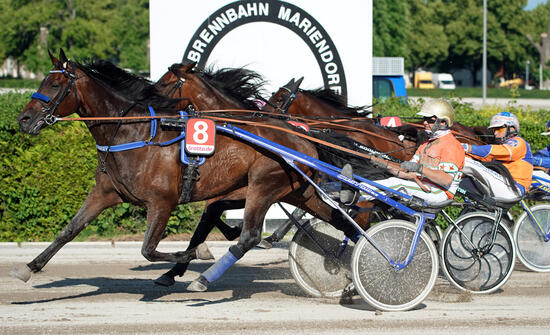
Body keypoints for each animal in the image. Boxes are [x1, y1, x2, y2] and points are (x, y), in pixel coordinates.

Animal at [12, 49, 360, 292]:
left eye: (54, 83)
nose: (23, 120)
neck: (131, 133)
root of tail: (302, 138)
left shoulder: (162, 201)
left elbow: (149, 250)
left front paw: (195, 254)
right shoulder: (105, 193)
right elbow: (69, 231)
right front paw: (29, 267)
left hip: (264, 185)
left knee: (249, 236)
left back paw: (204, 278)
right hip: (299, 191)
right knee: (342, 220)